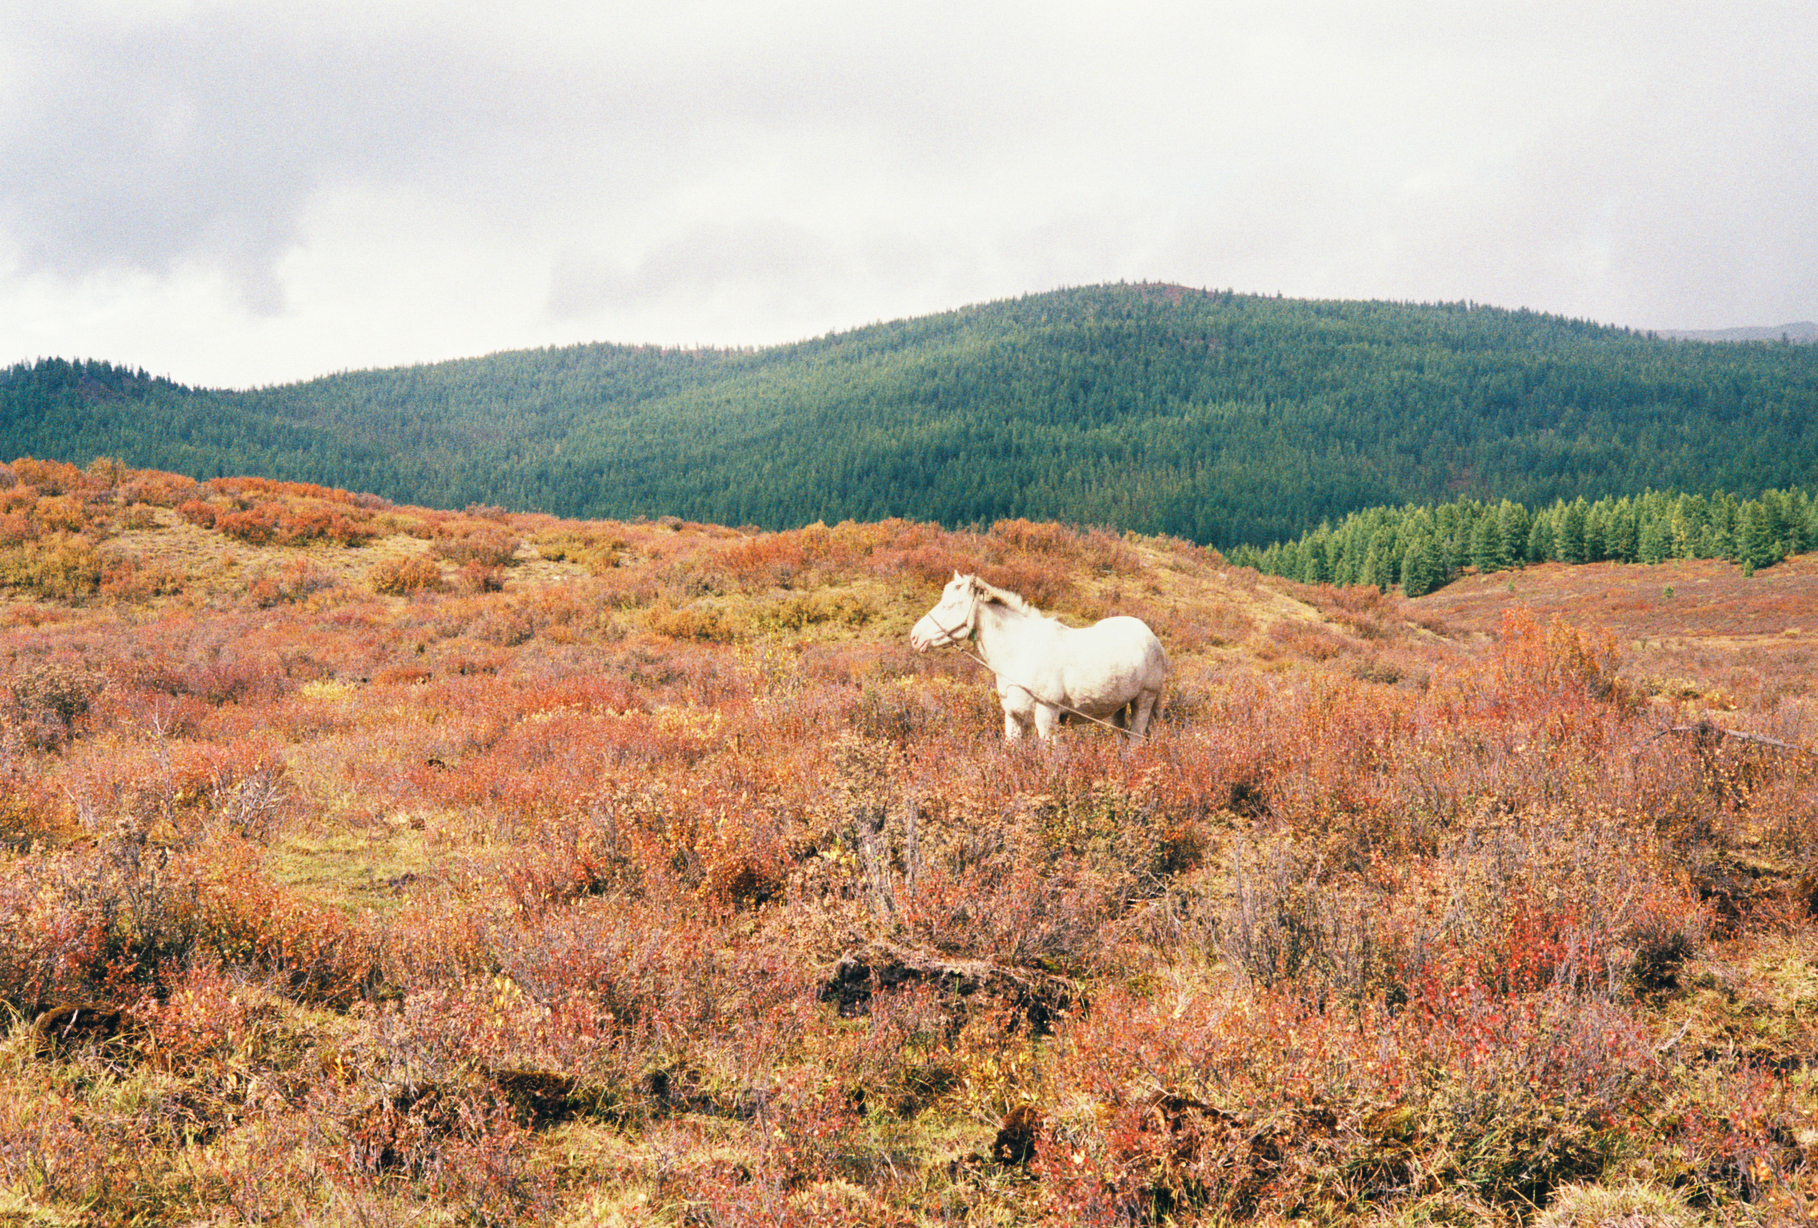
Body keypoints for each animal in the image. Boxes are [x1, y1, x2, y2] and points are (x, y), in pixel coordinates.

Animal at [905, 574, 1163, 738]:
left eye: (950, 605)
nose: (915, 637)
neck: (1019, 652)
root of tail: (1152, 637)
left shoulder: (1047, 717)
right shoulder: (1013, 717)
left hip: (1144, 700)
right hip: (1118, 707)